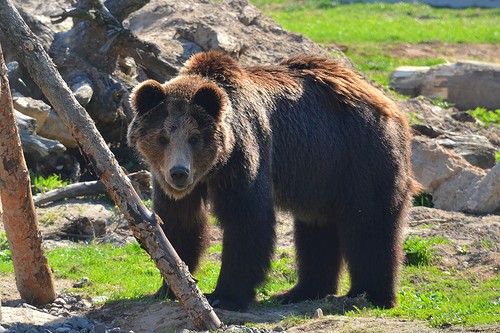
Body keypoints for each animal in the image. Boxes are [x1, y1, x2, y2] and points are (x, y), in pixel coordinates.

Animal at [126, 50, 418, 310]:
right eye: (162, 137)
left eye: (194, 138)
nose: (179, 173)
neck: (213, 169)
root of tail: (389, 104)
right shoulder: (171, 182)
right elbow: (179, 223)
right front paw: (168, 287)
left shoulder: (246, 156)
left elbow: (247, 220)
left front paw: (224, 296)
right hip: (319, 171)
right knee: (316, 228)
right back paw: (302, 291)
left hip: (361, 156)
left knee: (370, 223)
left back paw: (371, 295)